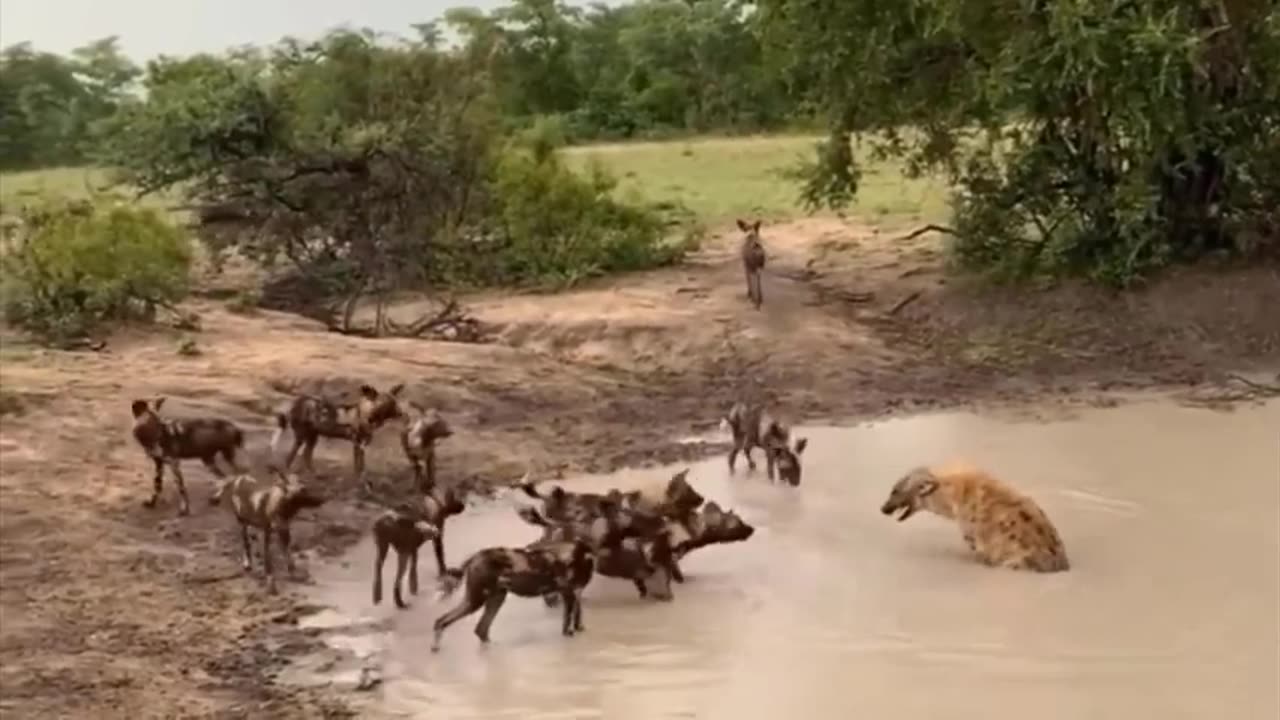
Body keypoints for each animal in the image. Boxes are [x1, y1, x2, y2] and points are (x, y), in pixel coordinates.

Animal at [268, 381, 404, 481]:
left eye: (395, 402)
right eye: (389, 404)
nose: (401, 413)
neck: (368, 415)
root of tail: (297, 402)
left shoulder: (363, 443)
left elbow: (362, 463)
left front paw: (363, 478)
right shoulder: (356, 441)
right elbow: (357, 464)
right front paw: (358, 479)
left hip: (313, 437)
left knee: (306, 455)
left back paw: (314, 474)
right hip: (302, 436)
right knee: (292, 455)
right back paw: (288, 473)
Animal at [427, 538, 591, 650]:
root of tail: (475, 556)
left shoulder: (575, 594)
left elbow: (578, 619)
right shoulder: (568, 594)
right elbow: (567, 625)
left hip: (496, 598)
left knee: (480, 629)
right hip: (476, 601)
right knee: (442, 621)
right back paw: (435, 647)